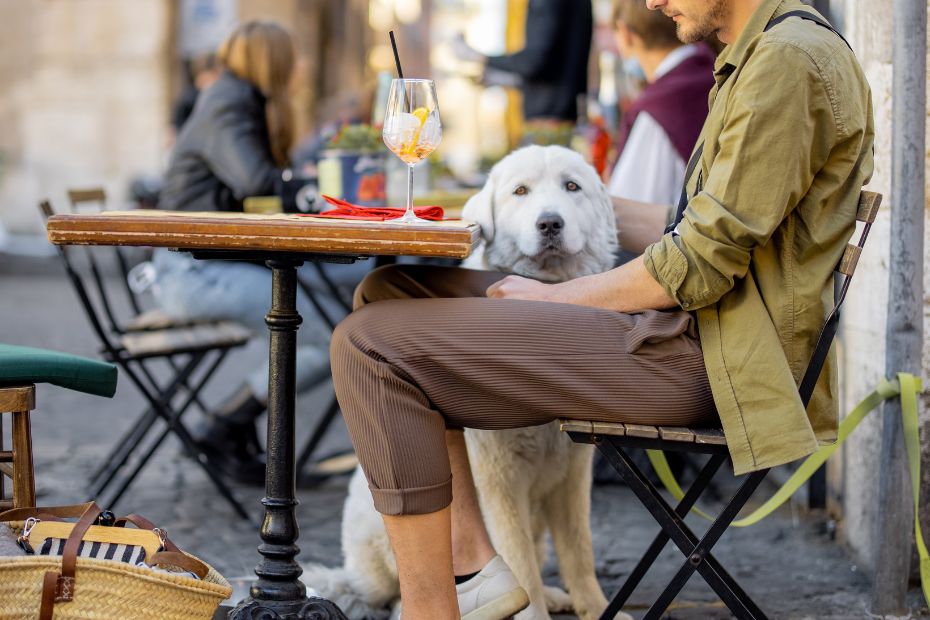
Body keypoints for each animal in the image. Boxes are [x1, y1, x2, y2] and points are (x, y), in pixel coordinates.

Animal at [302, 147, 624, 620]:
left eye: (572, 187)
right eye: (520, 192)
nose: (549, 223)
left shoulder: (572, 474)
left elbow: (579, 552)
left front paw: (596, 609)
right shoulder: (500, 479)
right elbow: (517, 559)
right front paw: (531, 612)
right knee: (401, 588)